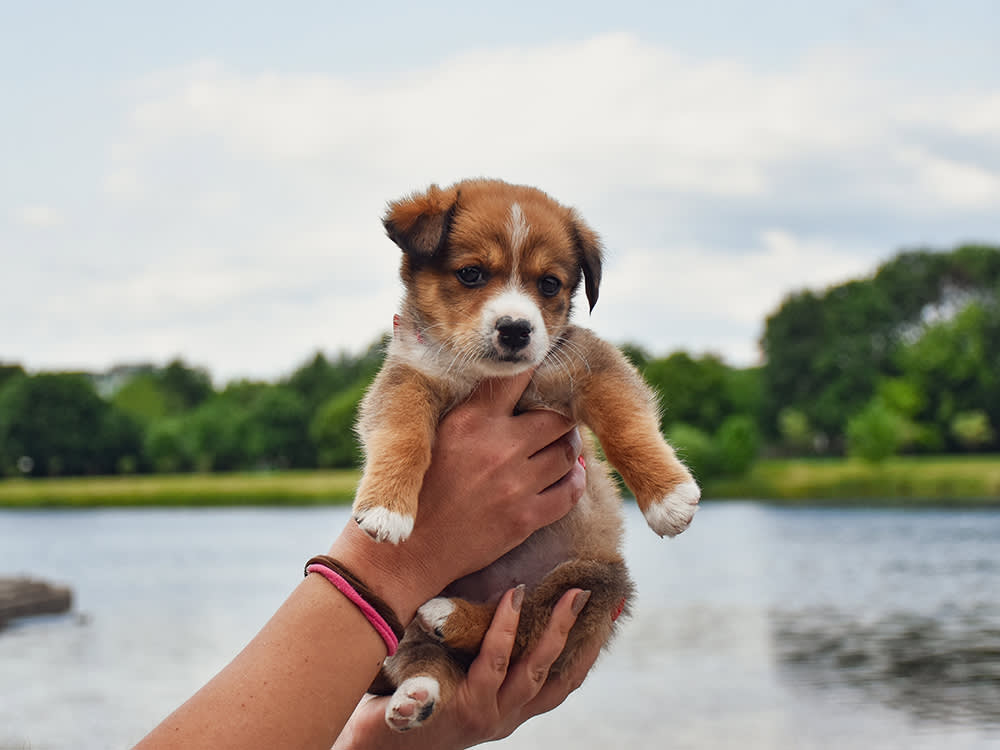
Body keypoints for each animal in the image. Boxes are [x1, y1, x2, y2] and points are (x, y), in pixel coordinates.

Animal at [356, 179, 700, 732]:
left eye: (550, 284)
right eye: (472, 274)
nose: (516, 328)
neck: (485, 378)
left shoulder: (588, 364)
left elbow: (627, 423)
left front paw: (667, 498)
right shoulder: (408, 379)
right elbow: (401, 434)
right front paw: (387, 507)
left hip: (591, 584)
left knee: (520, 618)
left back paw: (451, 620)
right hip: (407, 605)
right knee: (427, 653)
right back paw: (416, 691)